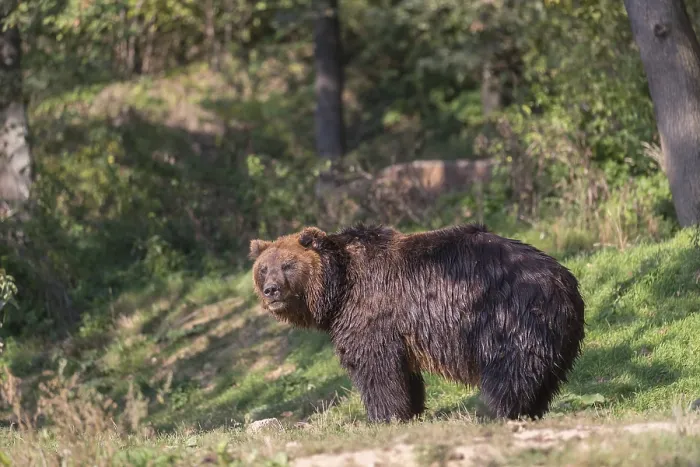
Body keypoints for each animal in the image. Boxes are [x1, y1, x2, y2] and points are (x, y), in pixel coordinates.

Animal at [249, 223, 585, 423]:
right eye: (264, 269)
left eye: (288, 265)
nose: (271, 290)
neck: (339, 289)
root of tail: (562, 279)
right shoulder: (396, 331)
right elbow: (403, 374)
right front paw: (409, 411)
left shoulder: (371, 313)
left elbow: (375, 368)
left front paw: (382, 417)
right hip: (558, 331)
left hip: (503, 316)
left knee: (510, 370)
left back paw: (497, 411)